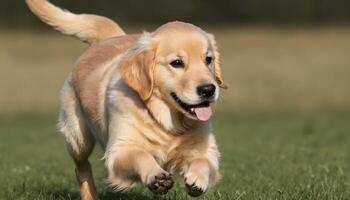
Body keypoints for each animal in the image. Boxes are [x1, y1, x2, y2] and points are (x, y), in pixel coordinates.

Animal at [25, 0, 227, 198]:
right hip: (78, 138)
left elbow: (203, 161)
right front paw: (157, 177)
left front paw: (197, 180)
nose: (208, 89)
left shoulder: (207, 149)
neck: (166, 122)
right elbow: (141, 156)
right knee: (82, 168)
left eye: (208, 59)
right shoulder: (120, 149)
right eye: (177, 63)